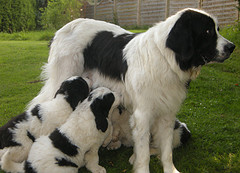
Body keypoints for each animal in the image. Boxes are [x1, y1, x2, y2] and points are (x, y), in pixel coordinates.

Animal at [27, 8, 234, 173]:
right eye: (207, 31)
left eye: (217, 29)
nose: (232, 47)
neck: (167, 58)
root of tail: (64, 27)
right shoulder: (143, 114)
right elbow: (143, 152)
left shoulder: (167, 114)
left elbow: (166, 150)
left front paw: (169, 169)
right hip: (63, 78)